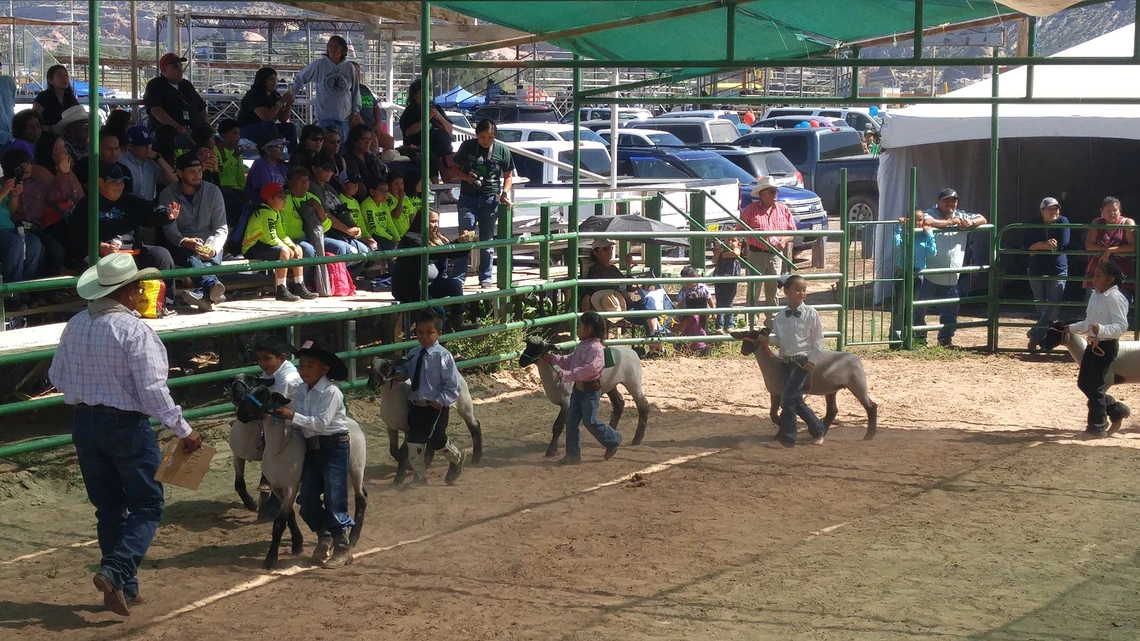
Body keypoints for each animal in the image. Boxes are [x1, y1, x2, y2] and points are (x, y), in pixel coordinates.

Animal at [231, 374, 369, 568]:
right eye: (250, 391)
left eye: (264, 395)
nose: (241, 414)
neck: (278, 449)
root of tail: (351, 422)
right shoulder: (277, 487)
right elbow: (289, 515)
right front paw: (297, 544)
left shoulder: (291, 487)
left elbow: (279, 523)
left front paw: (270, 559)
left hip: (356, 467)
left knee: (360, 498)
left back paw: (353, 539)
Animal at [367, 353, 483, 483]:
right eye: (371, 366)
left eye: (386, 368)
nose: (370, 384)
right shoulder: (391, 427)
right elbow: (393, 450)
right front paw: (407, 466)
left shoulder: (409, 429)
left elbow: (403, 452)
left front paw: (399, 479)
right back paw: (427, 463)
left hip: (464, 403)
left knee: (474, 425)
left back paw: (475, 459)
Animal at [519, 335, 652, 453]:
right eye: (527, 345)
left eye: (539, 348)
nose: (521, 361)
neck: (555, 373)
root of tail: (632, 352)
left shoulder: (566, 402)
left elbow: (558, 426)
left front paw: (551, 450)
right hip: (610, 384)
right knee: (619, 404)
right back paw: (612, 433)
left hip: (633, 382)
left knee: (643, 405)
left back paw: (637, 439)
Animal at [734, 328, 875, 437]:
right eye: (743, 338)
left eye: (756, 337)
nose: (744, 351)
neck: (774, 365)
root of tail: (856, 358)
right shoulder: (775, 393)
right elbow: (773, 414)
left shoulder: (787, 392)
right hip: (832, 389)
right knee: (832, 410)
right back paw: (822, 432)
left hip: (857, 383)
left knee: (871, 406)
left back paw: (869, 435)